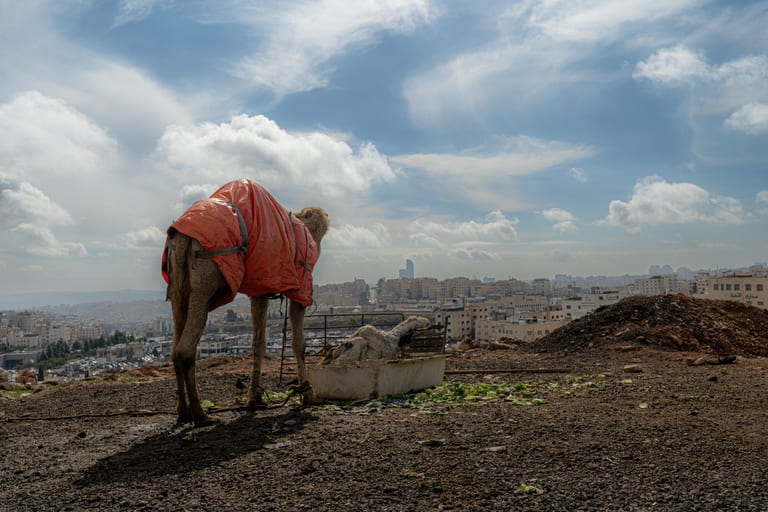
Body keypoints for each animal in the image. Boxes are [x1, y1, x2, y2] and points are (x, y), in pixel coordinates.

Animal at [163, 179, 329, 426]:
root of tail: (183, 235)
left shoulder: (260, 290)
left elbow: (258, 342)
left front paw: (255, 398)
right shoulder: (301, 286)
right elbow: (299, 342)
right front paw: (309, 395)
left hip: (177, 282)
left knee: (174, 346)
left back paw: (183, 413)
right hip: (206, 273)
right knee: (185, 348)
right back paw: (202, 415)